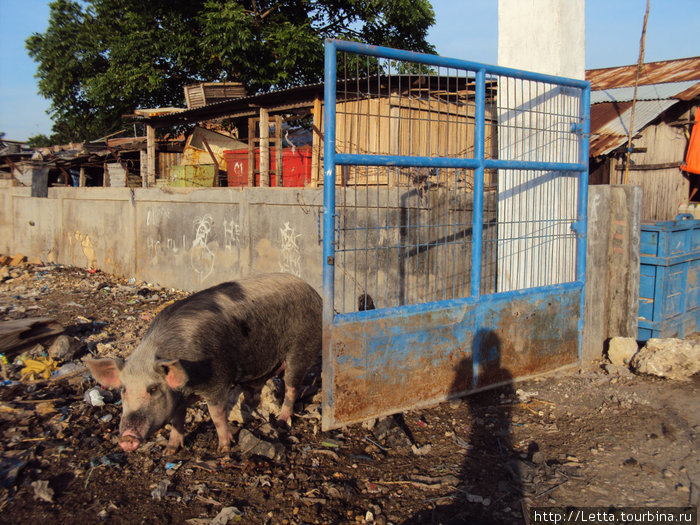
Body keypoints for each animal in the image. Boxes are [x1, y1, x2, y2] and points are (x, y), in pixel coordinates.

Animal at [85, 272, 322, 452]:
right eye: (123, 390)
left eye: (152, 389)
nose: (126, 438)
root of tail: (313, 292)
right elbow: (177, 419)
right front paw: (170, 451)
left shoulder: (217, 379)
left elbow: (216, 415)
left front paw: (224, 449)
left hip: (301, 348)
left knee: (292, 386)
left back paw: (281, 421)